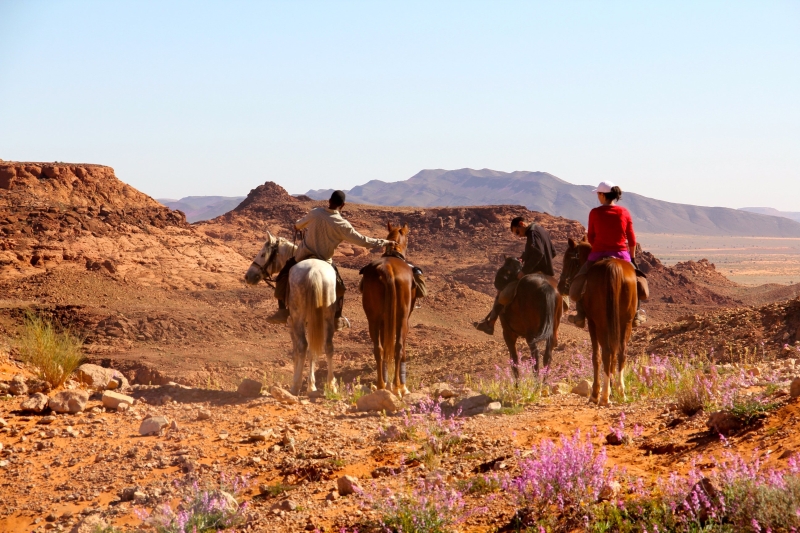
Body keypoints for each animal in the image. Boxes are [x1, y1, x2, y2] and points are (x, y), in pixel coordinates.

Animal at [244, 232, 338, 394]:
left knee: (302, 345)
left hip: (298, 317)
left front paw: (299, 381)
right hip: (327, 316)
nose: (248, 276)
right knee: (328, 346)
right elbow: (312, 351)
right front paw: (311, 385)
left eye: (262, 254)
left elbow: (296, 352)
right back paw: (331, 385)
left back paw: (295, 386)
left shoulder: (291, 323)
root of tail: (314, 273)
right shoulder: (311, 322)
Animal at [358, 221, 416, 394]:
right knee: (398, 348)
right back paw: (397, 386)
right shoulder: (405, 319)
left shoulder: (384, 321)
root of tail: (387, 269)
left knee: (379, 349)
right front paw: (402, 385)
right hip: (402, 317)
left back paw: (381, 384)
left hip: (373, 319)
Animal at [556, 236, 636, 404]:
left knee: (606, 352)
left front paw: (596, 392)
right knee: (621, 352)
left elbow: (596, 356)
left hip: (601, 322)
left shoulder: (592, 323)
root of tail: (613, 267)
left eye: (567, 259)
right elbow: (613, 354)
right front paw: (612, 387)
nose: (561, 286)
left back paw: (603, 396)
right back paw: (621, 391)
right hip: (626, 321)